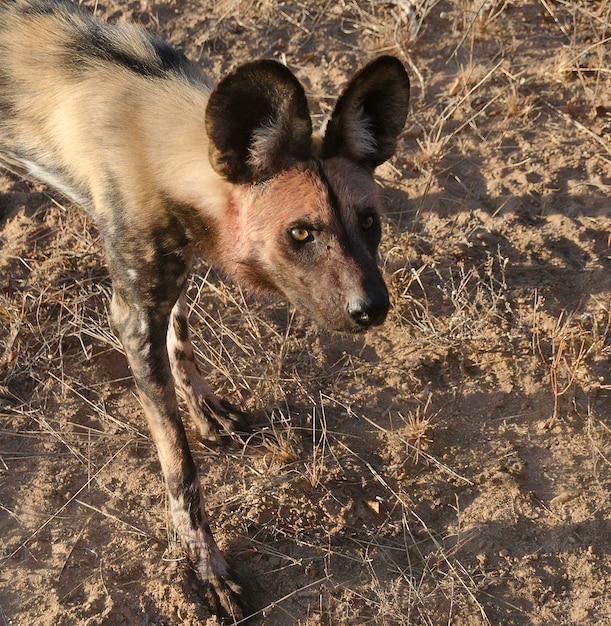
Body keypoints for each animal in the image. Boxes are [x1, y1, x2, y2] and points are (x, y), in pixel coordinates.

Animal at [0, 0, 412, 616]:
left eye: (369, 222)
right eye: (300, 233)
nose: (373, 308)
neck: (163, 149)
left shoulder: (173, 273)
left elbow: (182, 336)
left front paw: (206, 411)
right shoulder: (131, 313)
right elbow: (182, 470)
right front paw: (207, 569)